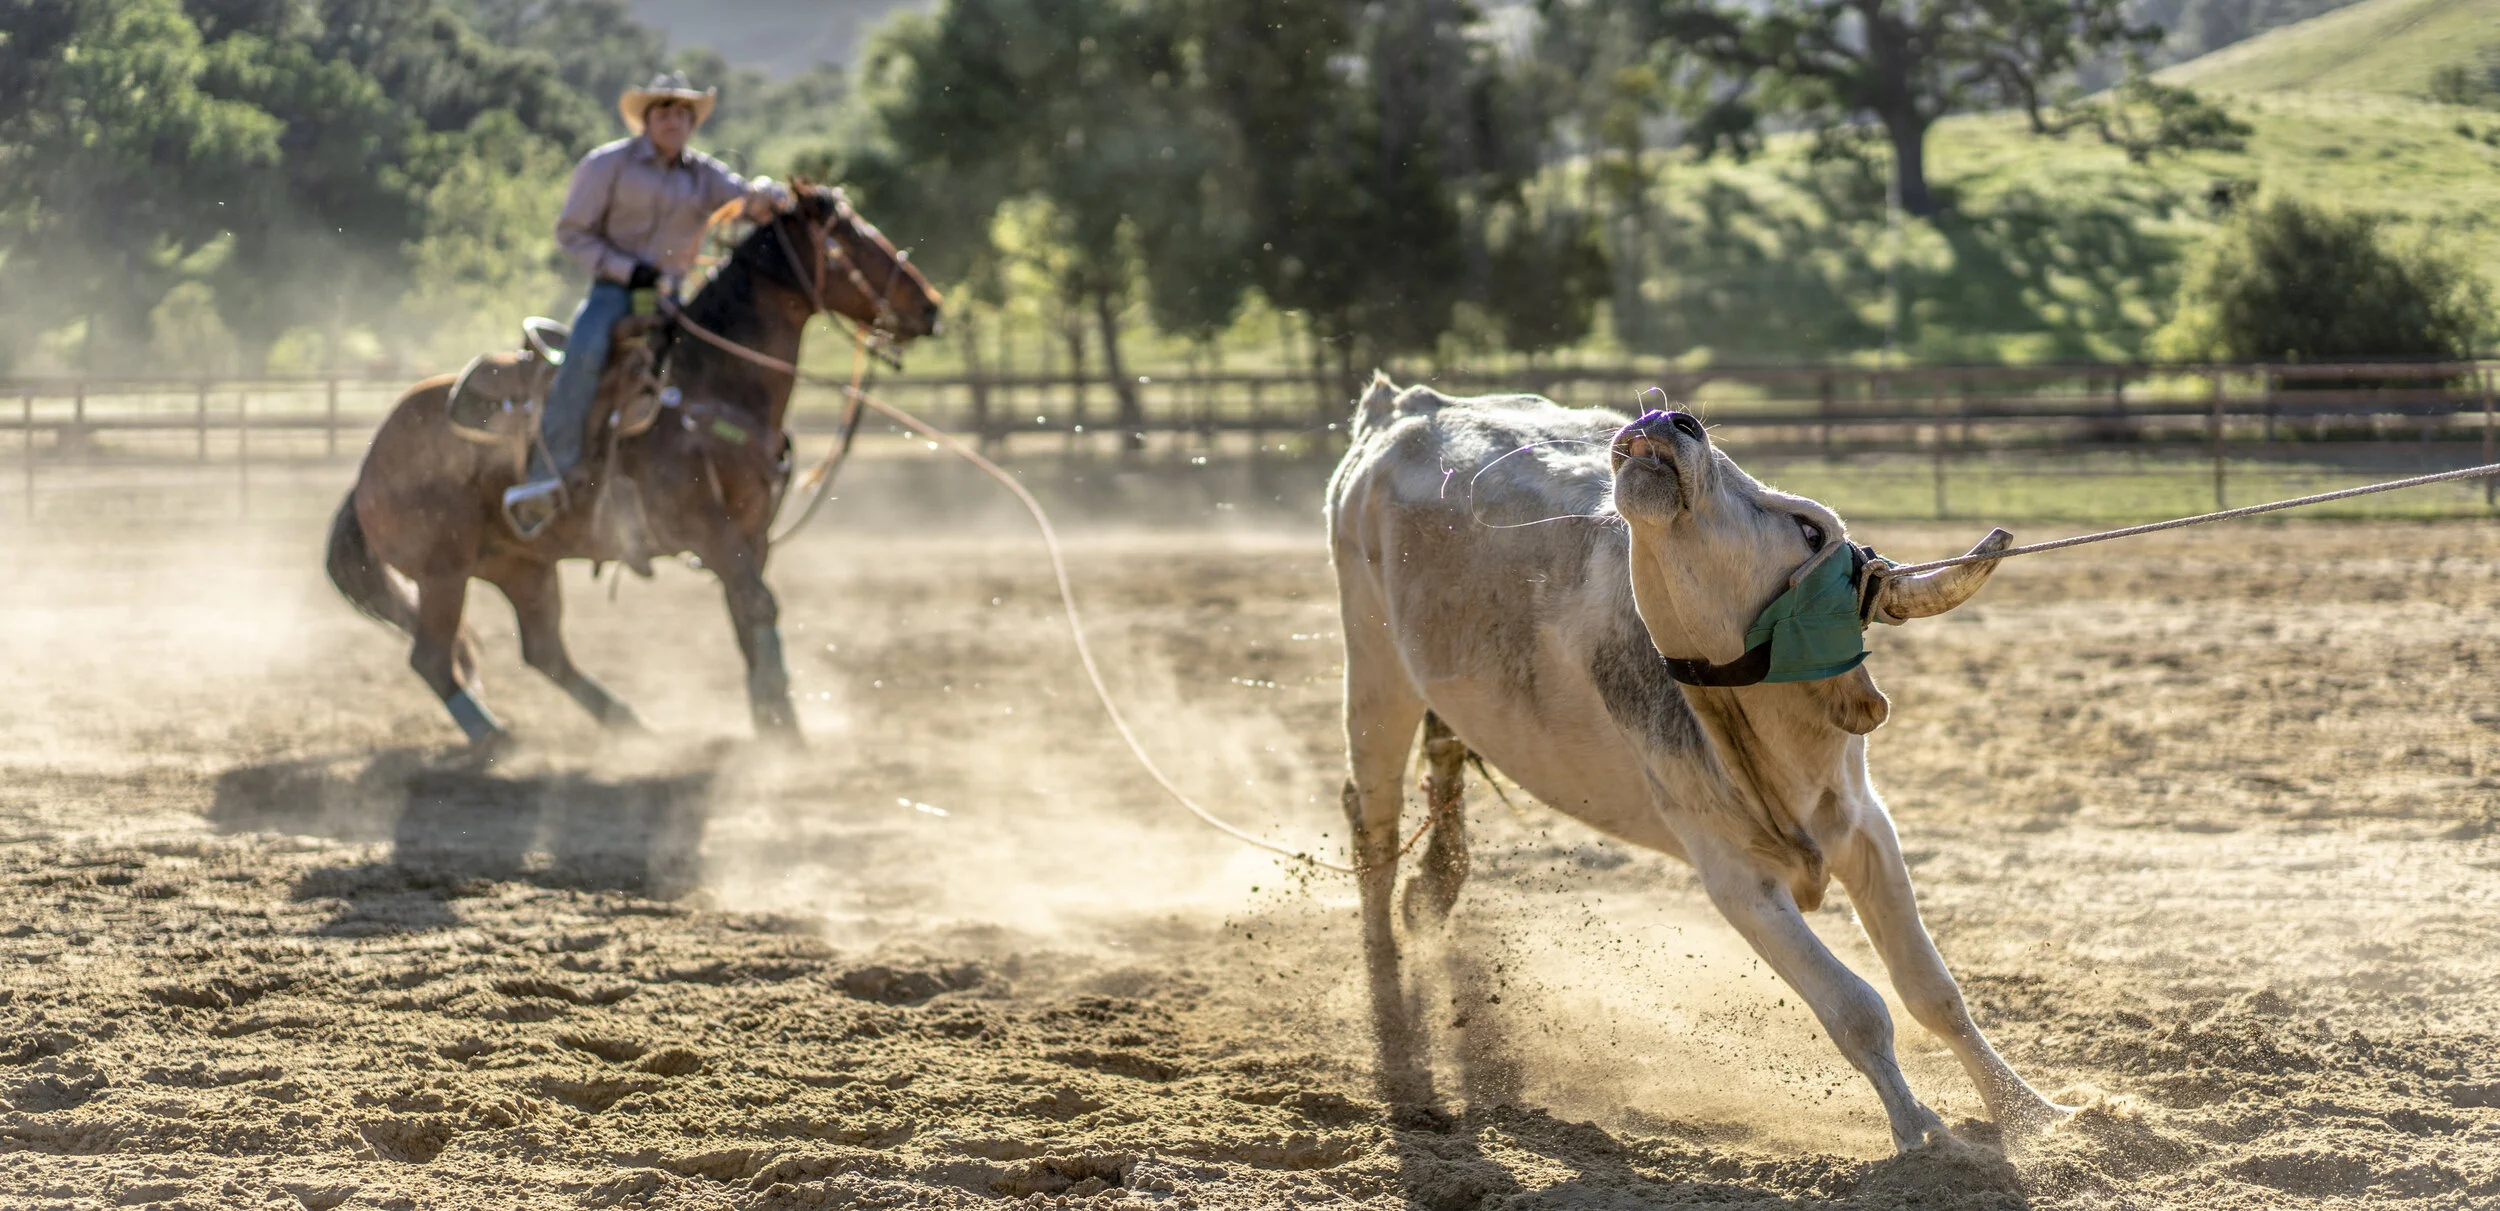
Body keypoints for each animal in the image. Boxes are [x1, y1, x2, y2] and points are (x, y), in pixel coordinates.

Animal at [325, 184, 940, 746]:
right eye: (853, 240)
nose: (931, 306)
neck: (709, 383)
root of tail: (366, 468)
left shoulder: (752, 532)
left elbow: (747, 615)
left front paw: (772, 721)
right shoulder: (705, 527)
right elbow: (758, 605)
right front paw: (786, 736)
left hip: (520, 563)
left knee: (543, 650)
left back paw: (631, 726)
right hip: (443, 571)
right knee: (432, 656)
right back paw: (496, 740)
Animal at [1324, 375, 2065, 1153]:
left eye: (1810, 530)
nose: (1671, 419)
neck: (1773, 737)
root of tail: (1405, 404)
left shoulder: (1866, 827)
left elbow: (1933, 991)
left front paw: (2035, 1116)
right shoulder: (1737, 878)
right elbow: (1856, 1007)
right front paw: (1923, 1130)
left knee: (1438, 784)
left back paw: (1428, 900)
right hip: (1374, 671)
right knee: (1373, 831)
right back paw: (1386, 992)